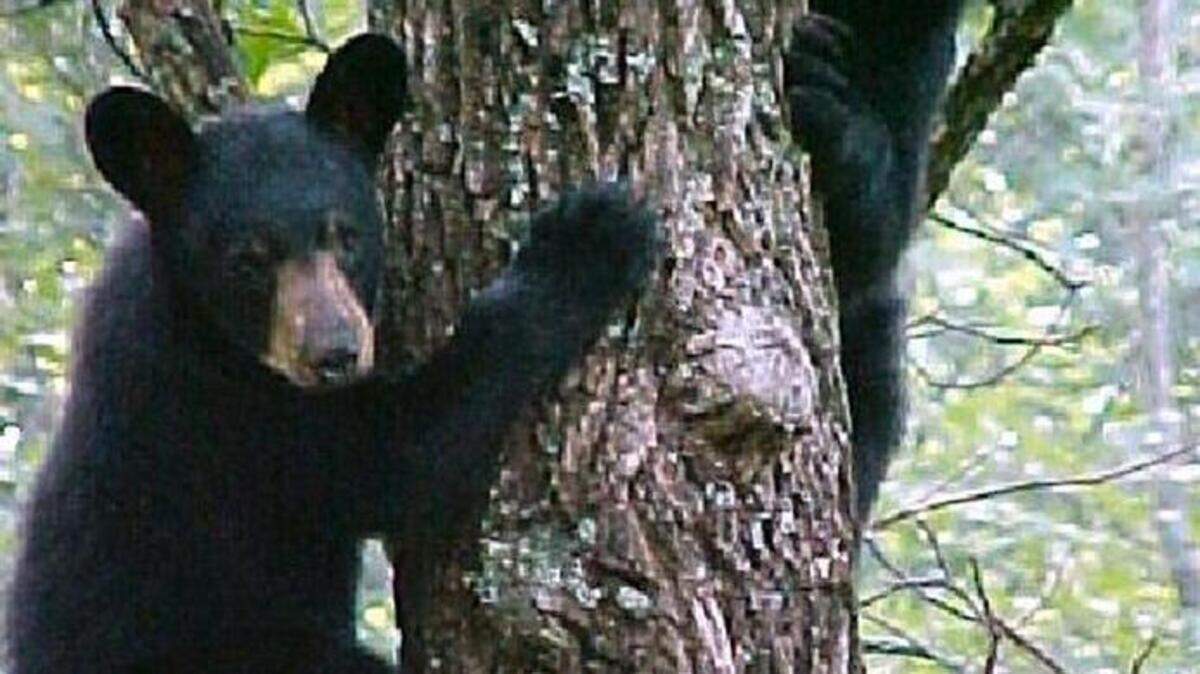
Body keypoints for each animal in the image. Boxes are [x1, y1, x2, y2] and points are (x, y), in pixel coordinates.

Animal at [7, 34, 657, 674]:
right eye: (249, 260)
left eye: (345, 235)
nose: (335, 352)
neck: (204, 326)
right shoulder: (221, 413)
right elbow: (399, 454)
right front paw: (590, 238)